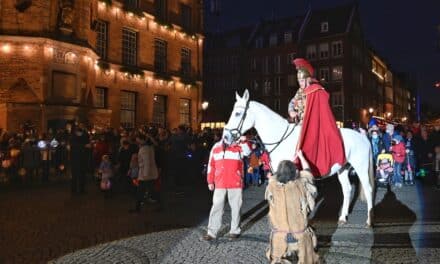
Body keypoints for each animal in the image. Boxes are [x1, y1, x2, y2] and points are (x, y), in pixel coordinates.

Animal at [223, 89, 374, 226]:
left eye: (237, 113)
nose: (226, 137)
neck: (279, 137)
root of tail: (363, 136)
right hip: (342, 168)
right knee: (347, 189)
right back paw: (343, 218)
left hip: (361, 168)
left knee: (368, 189)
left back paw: (369, 220)